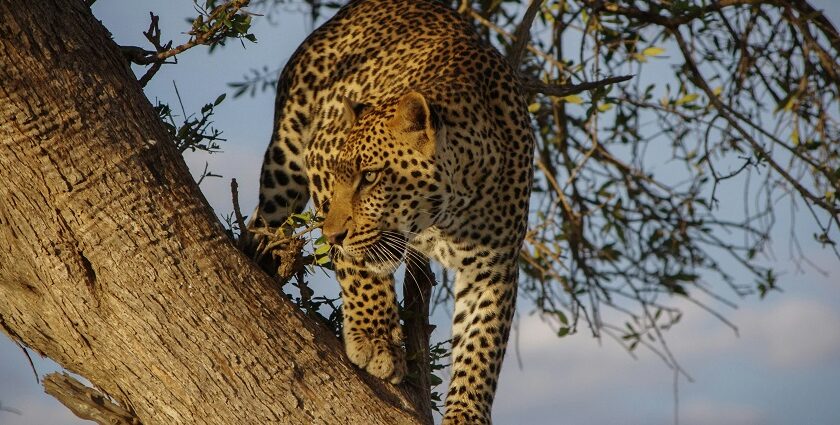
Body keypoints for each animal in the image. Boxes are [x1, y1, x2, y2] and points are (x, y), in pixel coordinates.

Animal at [253, 0, 536, 420]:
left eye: (370, 177)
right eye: (339, 176)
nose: (331, 235)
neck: (446, 213)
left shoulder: (494, 266)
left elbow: (481, 344)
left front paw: (466, 413)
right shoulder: (319, 155)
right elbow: (358, 269)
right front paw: (375, 341)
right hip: (285, 162)